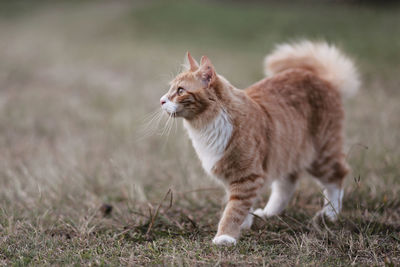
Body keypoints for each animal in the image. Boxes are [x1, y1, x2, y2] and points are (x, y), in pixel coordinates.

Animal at [159, 41, 360, 247]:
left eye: (180, 91)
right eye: (170, 89)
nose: (161, 101)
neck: (206, 125)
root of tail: (324, 79)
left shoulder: (247, 176)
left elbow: (233, 210)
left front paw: (226, 235)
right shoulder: (238, 177)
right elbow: (243, 205)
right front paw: (245, 223)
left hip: (321, 155)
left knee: (337, 178)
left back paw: (330, 214)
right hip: (286, 154)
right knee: (286, 186)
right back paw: (269, 213)